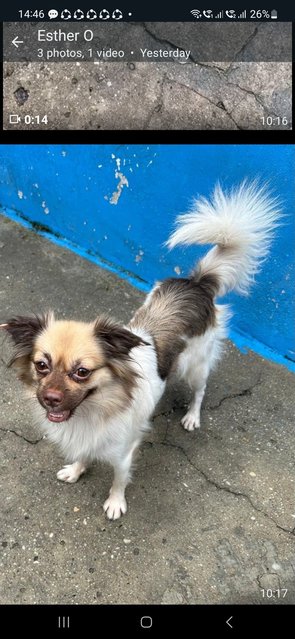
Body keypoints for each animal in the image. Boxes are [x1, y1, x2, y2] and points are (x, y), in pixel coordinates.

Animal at [0, 181, 280, 520]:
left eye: (82, 372)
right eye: (42, 365)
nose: (49, 399)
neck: (93, 410)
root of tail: (197, 283)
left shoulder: (124, 453)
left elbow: (119, 479)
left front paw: (115, 503)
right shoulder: (86, 438)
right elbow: (83, 454)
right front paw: (77, 470)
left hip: (196, 366)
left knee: (200, 390)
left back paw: (192, 416)